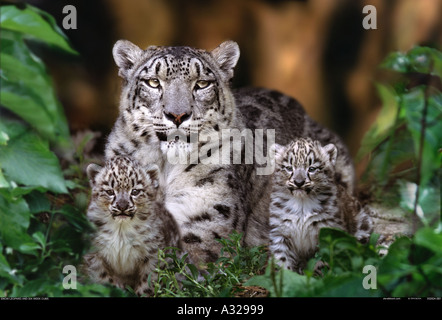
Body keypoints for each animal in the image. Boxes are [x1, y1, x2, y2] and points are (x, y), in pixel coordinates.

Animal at [83, 156, 181, 296]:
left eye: (135, 191)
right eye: (110, 191)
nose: (122, 206)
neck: (121, 230)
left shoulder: (153, 254)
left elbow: (148, 283)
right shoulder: (94, 254)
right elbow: (103, 278)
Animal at [270, 139, 372, 274]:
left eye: (312, 168)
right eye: (289, 168)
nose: (299, 182)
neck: (301, 205)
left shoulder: (328, 231)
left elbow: (323, 259)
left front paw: (319, 272)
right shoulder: (280, 233)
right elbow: (282, 259)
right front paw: (285, 275)